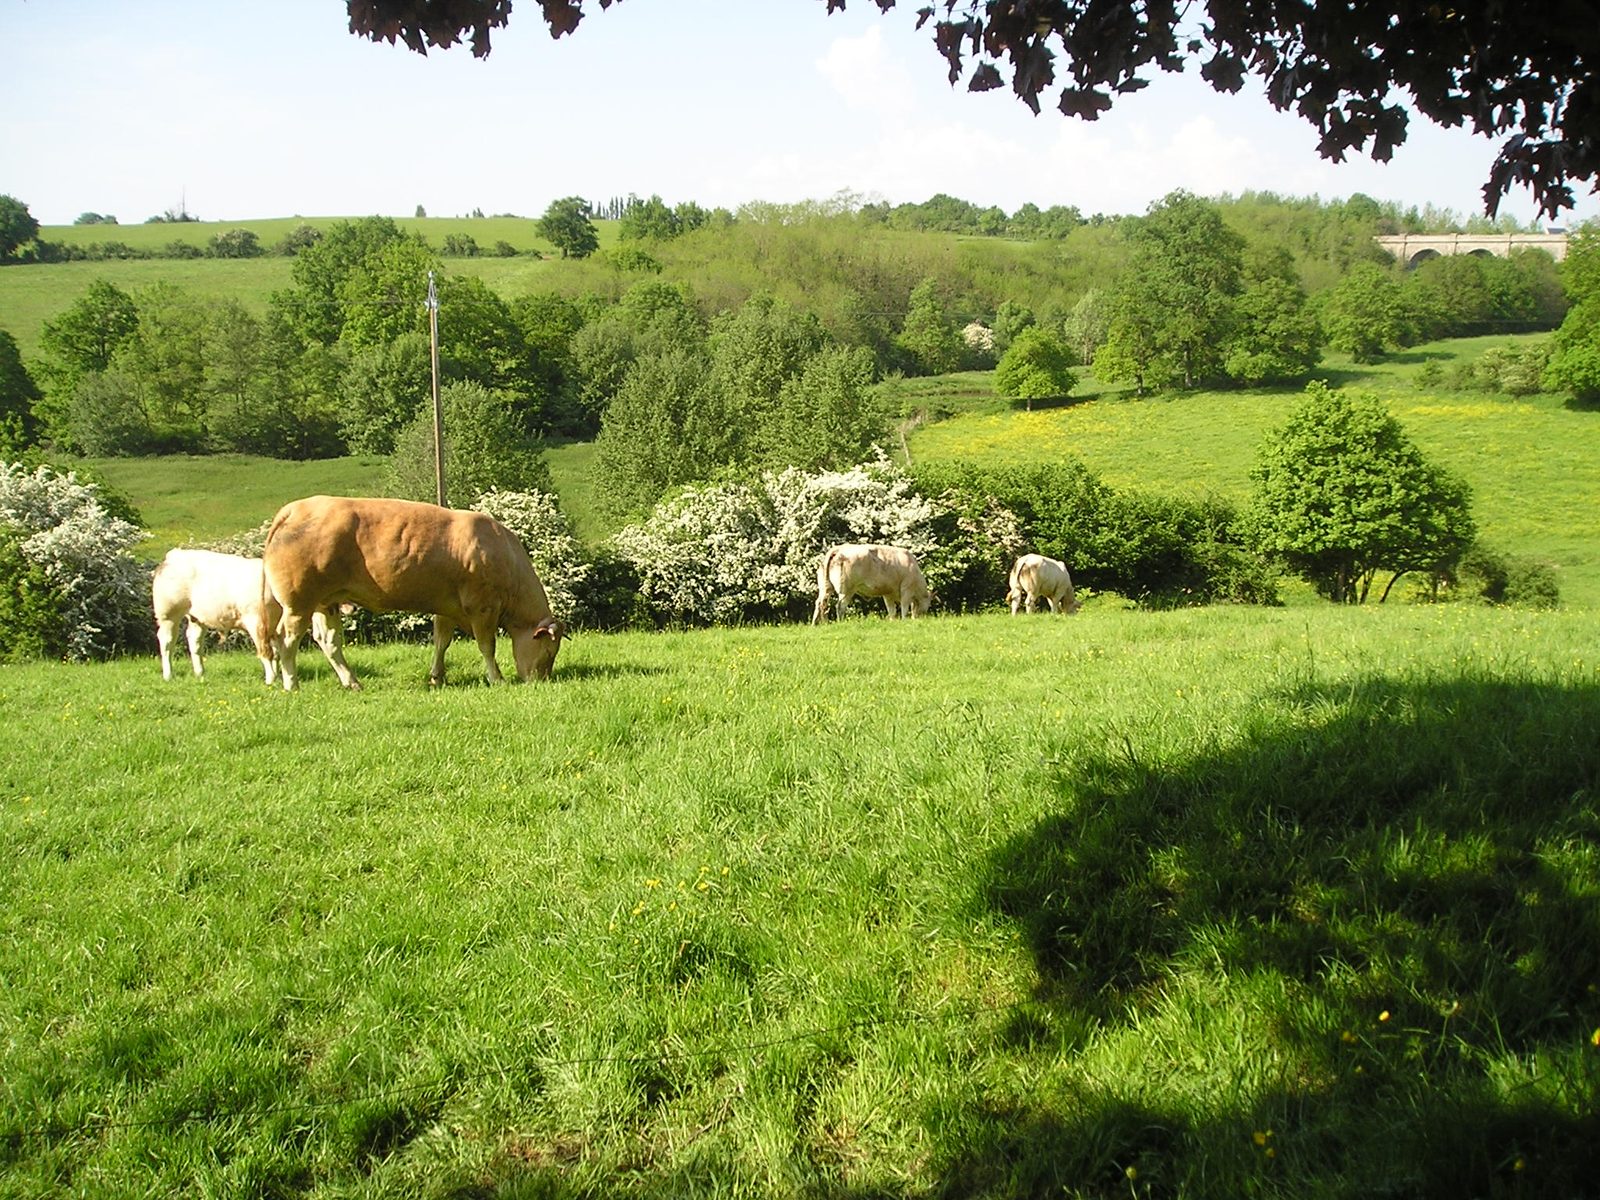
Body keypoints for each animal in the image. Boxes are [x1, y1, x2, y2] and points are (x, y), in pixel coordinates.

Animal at [152, 548, 288, 684]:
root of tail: (175, 554)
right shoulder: (258, 622)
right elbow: (266, 651)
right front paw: (271, 680)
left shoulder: (276, 627)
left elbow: (277, 653)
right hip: (168, 614)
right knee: (167, 642)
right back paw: (168, 676)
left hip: (197, 617)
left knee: (195, 640)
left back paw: (199, 673)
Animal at [261, 495, 566, 691]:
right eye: (549, 651)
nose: (541, 681)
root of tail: (294, 509)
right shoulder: (482, 607)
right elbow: (486, 646)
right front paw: (497, 678)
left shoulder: (448, 607)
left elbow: (441, 642)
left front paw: (437, 677)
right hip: (298, 604)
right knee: (286, 640)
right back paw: (291, 683)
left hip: (326, 603)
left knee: (329, 642)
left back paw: (352, 682)